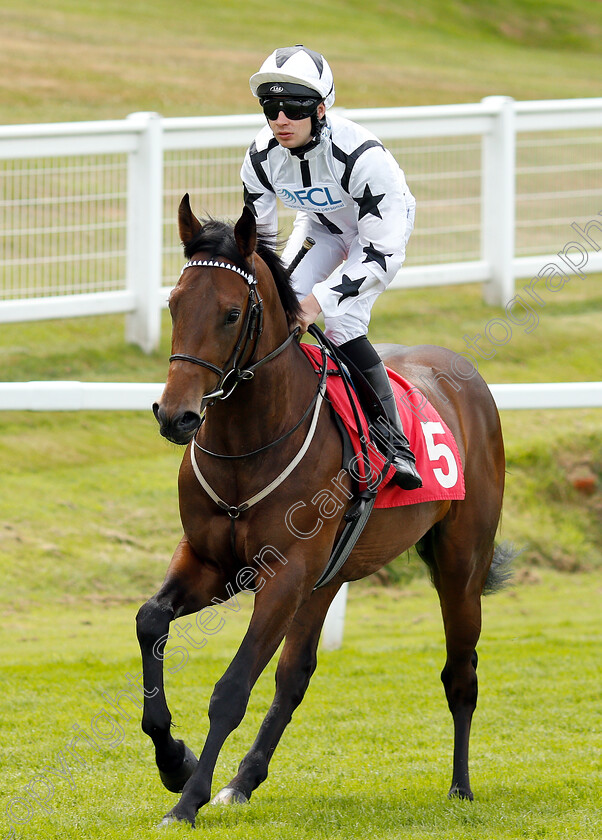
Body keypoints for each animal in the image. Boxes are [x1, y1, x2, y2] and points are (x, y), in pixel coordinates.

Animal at [137, 195, 510, 828]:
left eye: (232, 313)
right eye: (174, 303)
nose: (176, 415)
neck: (249, 445)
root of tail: (466, 377)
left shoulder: (283, 574)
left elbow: (231, 689)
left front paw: (187, 801)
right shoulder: (211, 563)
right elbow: (150, 622)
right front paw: (175, 761)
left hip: (461, 566)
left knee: (461, 675)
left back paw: (461, 788)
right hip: (328, 578)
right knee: (295, 676)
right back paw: (242, 782)